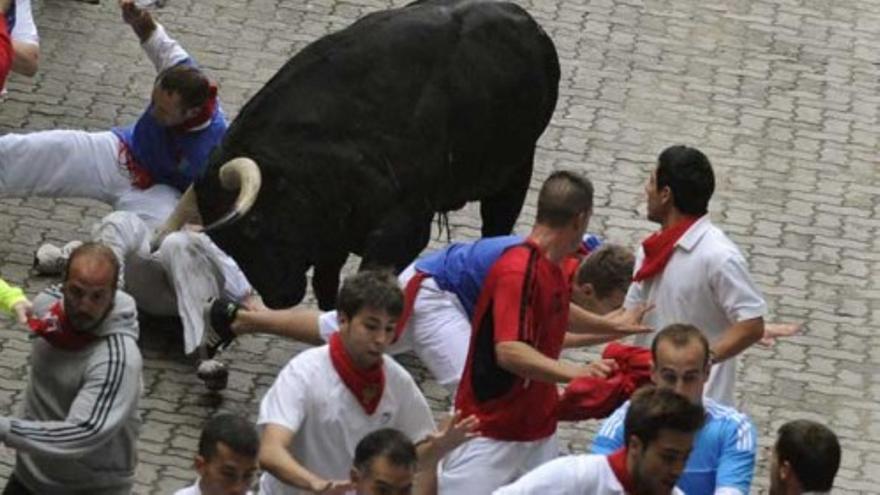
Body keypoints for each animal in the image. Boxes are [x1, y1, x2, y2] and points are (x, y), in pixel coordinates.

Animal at [197, 0, 560, 310]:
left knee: (496, 226)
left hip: (516, 170)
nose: (278, 298)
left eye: (254, 224)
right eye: (224, 242)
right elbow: (328, 288)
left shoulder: (401, 231)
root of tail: (532, 30)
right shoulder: (332, 237)